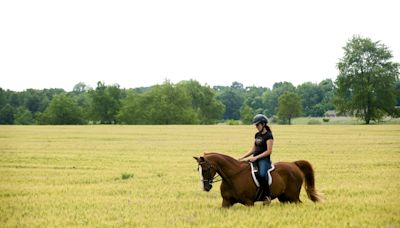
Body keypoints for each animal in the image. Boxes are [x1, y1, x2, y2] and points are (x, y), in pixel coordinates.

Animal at [193, 152, 322, 208]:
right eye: (198, 169)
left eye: (205, 169)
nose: (206, 187)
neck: (233, 177)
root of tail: (294, 164)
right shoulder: (226, 202)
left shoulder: (249, 203)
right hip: (284, 198)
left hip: (293, 197)